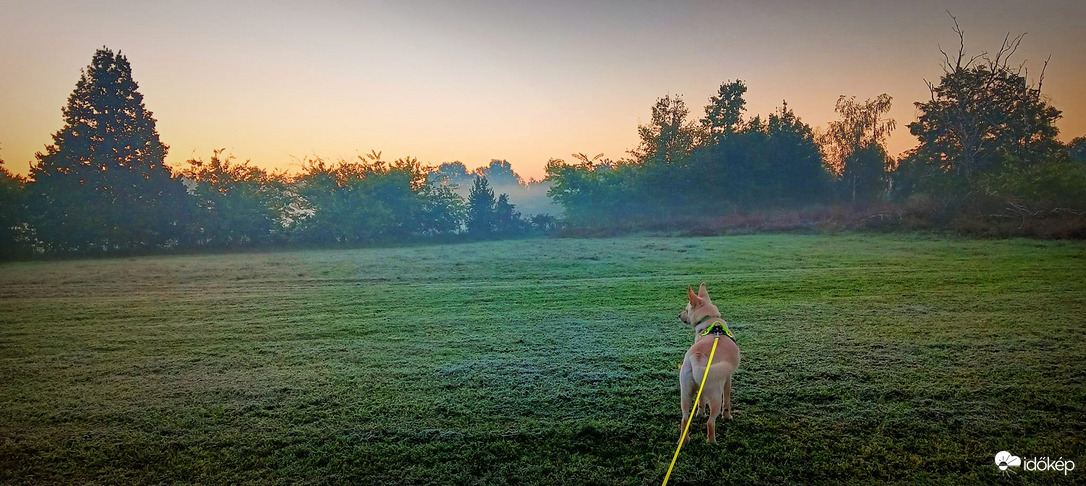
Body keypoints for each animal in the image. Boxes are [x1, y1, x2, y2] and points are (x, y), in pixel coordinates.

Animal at [677, 282, 738, 444]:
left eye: (686, 309)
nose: (678, 315)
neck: (709, 321)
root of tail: (697, 357)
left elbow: (701, 402)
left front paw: (700, 413)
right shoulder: (727, 379)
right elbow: (727, 401)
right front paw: (728, 417)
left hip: (685, 394)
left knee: (685, 419)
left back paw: (684, 440)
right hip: (715, 396)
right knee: (710, 422)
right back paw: (712, 442)